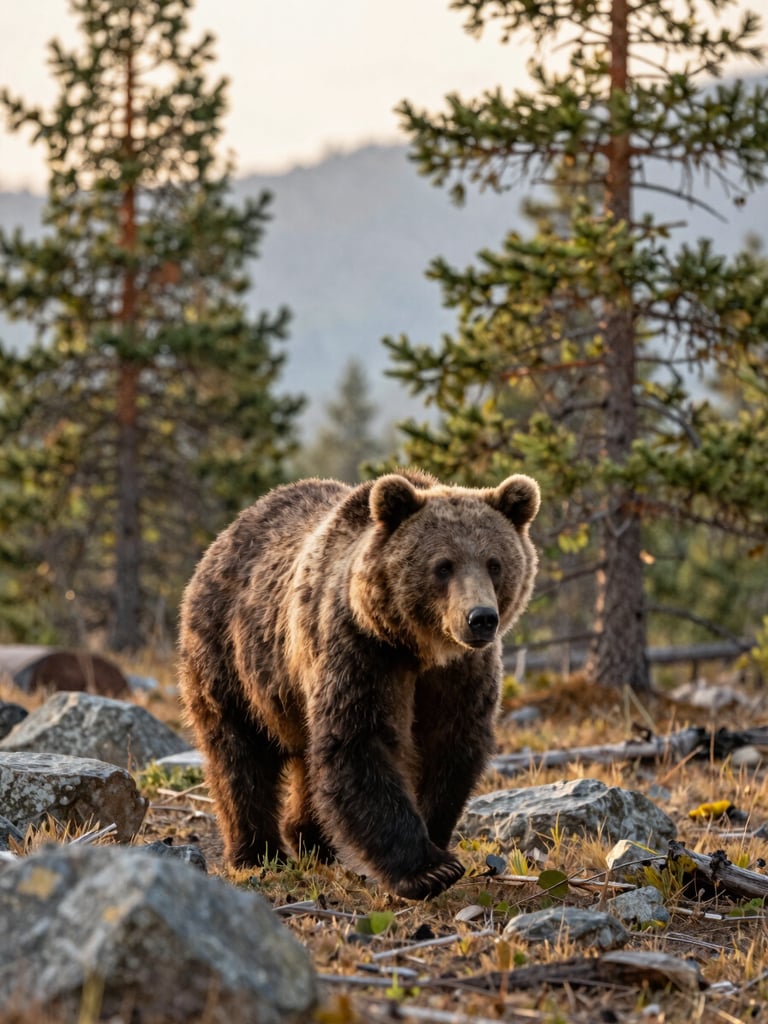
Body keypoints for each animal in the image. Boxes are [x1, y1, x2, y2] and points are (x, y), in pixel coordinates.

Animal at [178, 469, 540, 900]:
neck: (421, 649)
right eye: (443, 565)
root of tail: (228, 533)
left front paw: (434, 840)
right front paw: (428, 870)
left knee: (306, 760)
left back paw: (312, 840)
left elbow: (449, 747)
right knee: (239, 753)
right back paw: (257, 854)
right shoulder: (363, 650)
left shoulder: (461, 673)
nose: (481, 618)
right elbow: (359, 740)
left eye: (494, 563)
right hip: (232, 654)